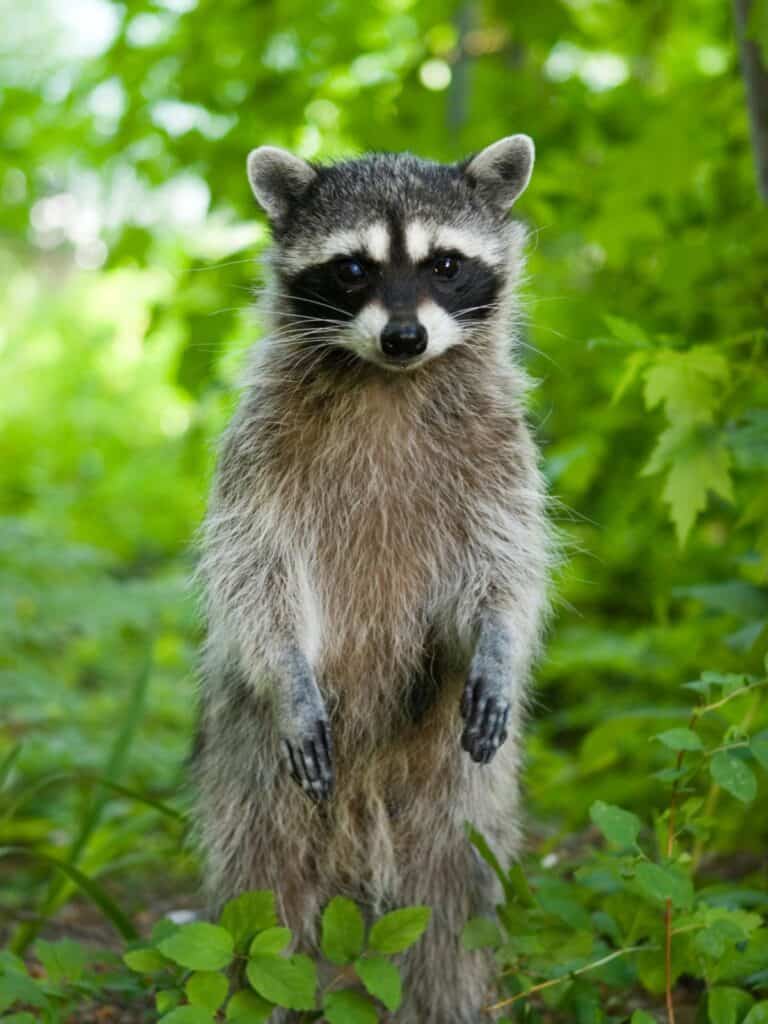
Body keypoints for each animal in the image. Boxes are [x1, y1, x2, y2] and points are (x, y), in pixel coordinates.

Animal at [194, 136, 551, 1022]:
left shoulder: (501, 454)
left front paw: (499, 640)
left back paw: (450, 999)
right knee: (259, 896)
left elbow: (506, 568)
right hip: (249, 762)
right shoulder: (257, 457)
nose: (403, 337)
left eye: (445, 264)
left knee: (454, 898)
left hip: (462, 784)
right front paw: (287, 670)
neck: (389, 382)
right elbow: (254, 575)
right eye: (353, 268)